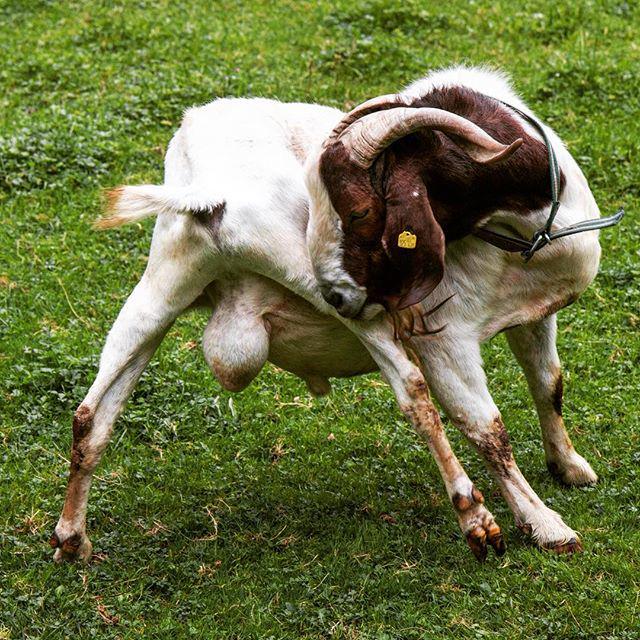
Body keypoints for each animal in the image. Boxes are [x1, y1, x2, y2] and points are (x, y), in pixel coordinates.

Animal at [51, 67, 600, 563]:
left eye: (357, 211)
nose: (335, 296)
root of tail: (210, 194)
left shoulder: (533, 315)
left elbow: (549, 383)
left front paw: (569, 465)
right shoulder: (447, 339)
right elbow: (487, 428)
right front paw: (546, 525)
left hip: (163, 282)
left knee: (91, 414)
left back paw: (70, 539)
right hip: (328, 289)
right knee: (414, 396)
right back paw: (475, 518)